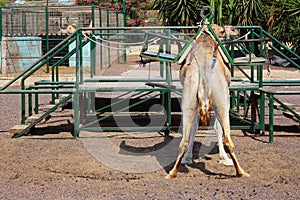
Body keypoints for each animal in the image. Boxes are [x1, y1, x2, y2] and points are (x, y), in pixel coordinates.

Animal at [165, 24, 250, 179]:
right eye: (223, 30)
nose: (235, 29)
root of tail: (204, 69)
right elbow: (217, 128)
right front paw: (223, 158)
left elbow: (194, 129)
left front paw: (188, 158)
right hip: (222, 102)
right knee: (228, 139)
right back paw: (240, 171)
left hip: (189, 101)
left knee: (184, 140)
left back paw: (172, 172)